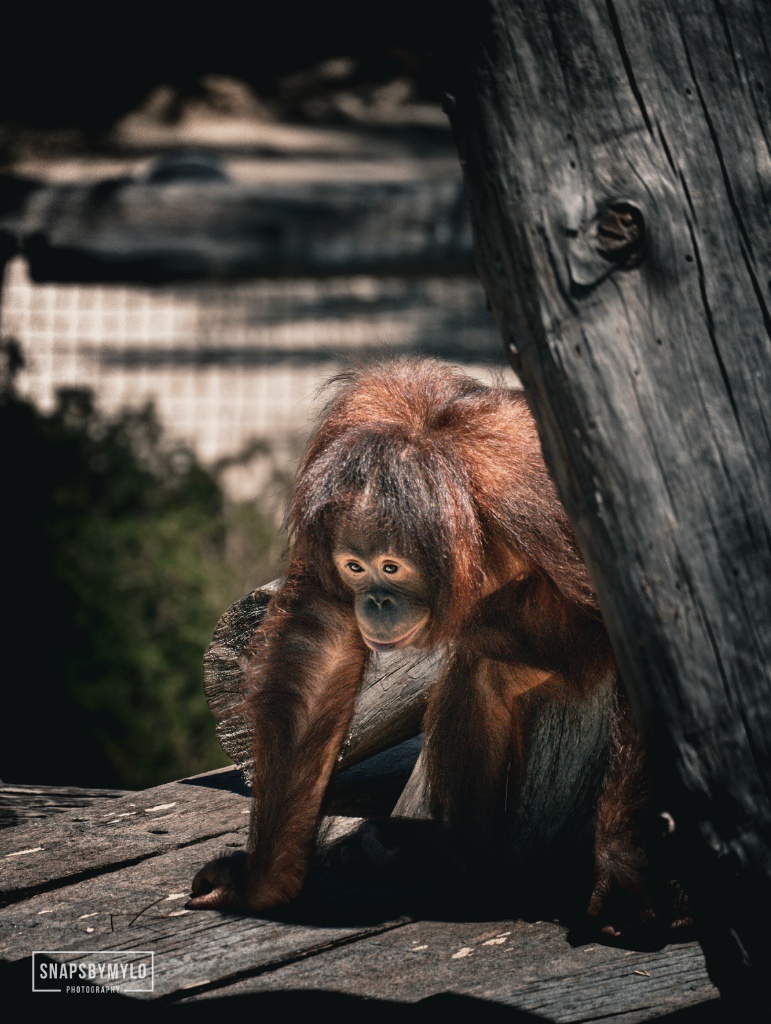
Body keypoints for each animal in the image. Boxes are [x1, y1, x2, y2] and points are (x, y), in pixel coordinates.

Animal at [188, 357, 686, 938]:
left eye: (391, 567)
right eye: (354, 567)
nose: (376, 602)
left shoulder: (536, 500)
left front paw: (623, 877)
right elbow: (321, 632)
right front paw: (262, 884)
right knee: (483, 674)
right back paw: (457, 856)